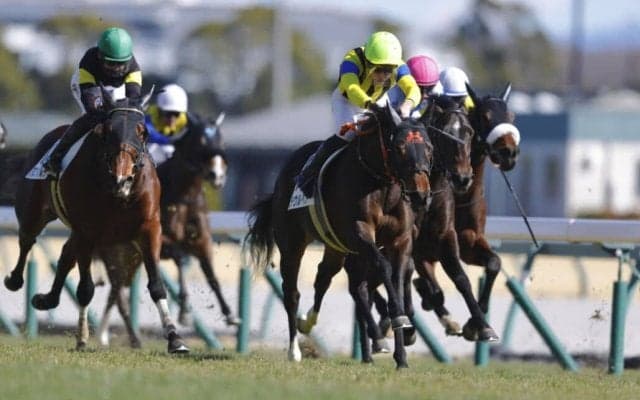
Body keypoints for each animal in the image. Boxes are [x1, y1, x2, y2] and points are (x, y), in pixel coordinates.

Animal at [3, 92, 189, 353]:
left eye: (143, 132)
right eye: (107, 131)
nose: (122, 178)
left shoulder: (150, 229)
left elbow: (156, 285)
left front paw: (175, 338)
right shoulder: (87, 231)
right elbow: (86, 288)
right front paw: (82, 337)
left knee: (65, 256)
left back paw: (46, 299)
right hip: (34, 212)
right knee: (27, 240)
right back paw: (15, 280)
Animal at [95, 111, 238, 347]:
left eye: (222, 140)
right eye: (201, 140)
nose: (217, 175)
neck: (184, 195)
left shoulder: (202, 242)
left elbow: (212, 276)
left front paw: (230, 315)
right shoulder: (161, 241)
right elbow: (180, 258)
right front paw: (184, 311)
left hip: (132, 259)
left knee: (116, 292)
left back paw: (107, 334)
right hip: (114, 254)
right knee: (118, 293)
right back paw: (122, 336)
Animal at [245, 103, 432, 368]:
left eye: (429, 147)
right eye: (400, 147)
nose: (420, 194)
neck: (381, 184)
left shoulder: (400, 240)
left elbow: (396, 278)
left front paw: (402, 354)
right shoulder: (359, 232)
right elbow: (384, 268)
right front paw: (398, 321)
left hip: (338, 247)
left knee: (327, 278)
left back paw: (310, 322)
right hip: (293, 244)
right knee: (292, 292)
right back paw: (295, 350)